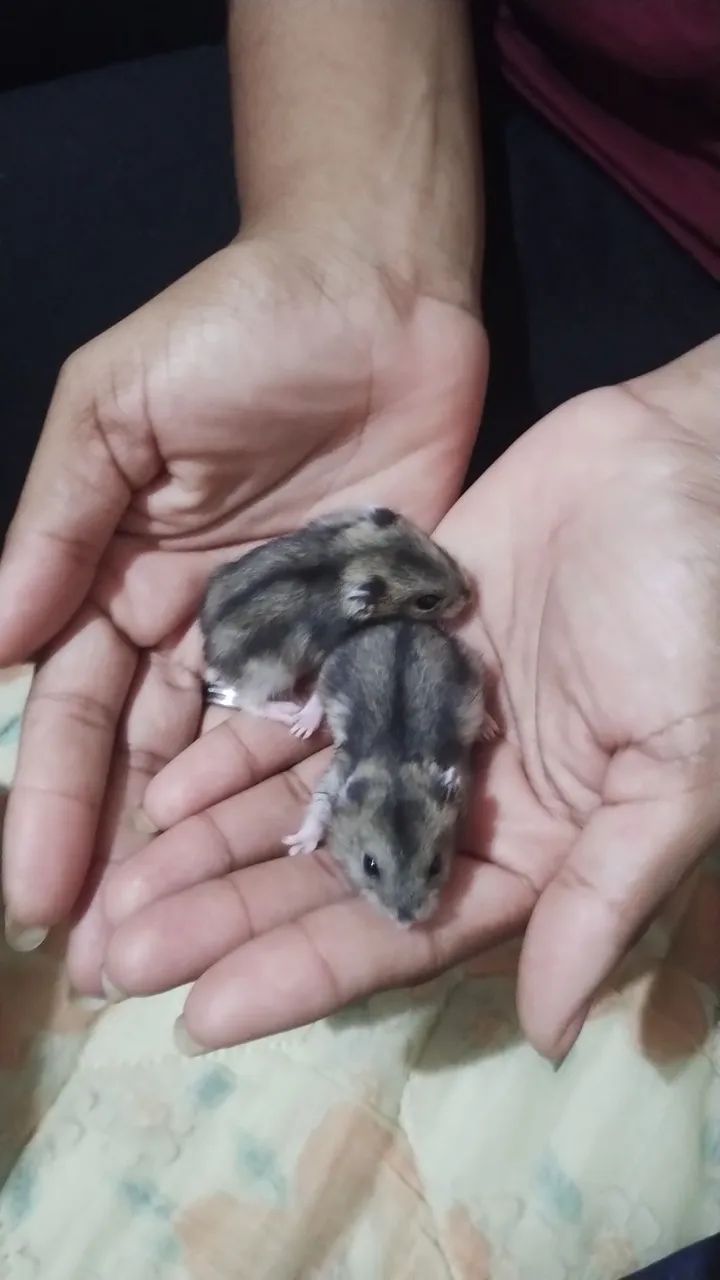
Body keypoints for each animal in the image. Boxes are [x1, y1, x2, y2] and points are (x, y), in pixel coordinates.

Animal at [201, 506, 471, 729]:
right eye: (427, 602)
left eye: (440, 551)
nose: (469, 598)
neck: (351, 559)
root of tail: (212, 656)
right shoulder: (330, 647)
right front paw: (303, 727)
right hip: (272, 672)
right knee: (251, 701)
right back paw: (289, 712)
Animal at [283, 619, 489, 925]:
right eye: (370, 865)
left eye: (436, 866)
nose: (405, 920)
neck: (396, 764)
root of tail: (403, 622)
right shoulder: (337, 774)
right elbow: (320, 806)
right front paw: (296, 846)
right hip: (332, 668)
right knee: (318, 696)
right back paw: (302, 725)